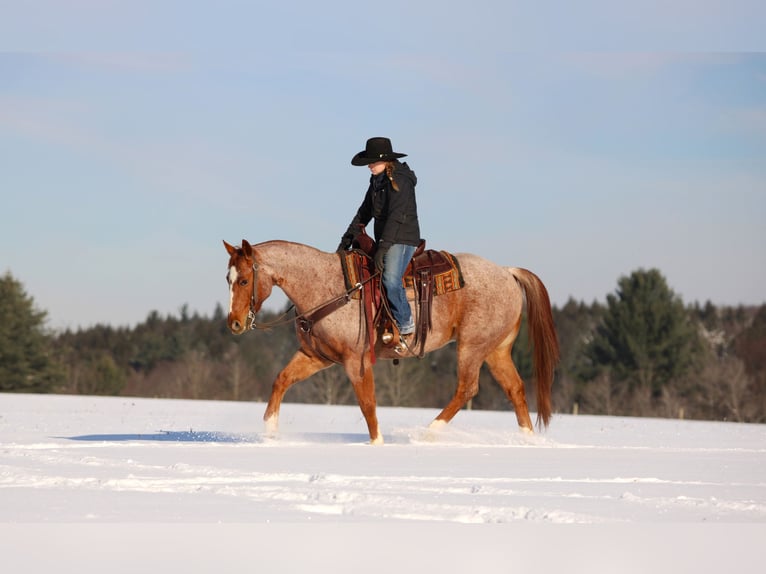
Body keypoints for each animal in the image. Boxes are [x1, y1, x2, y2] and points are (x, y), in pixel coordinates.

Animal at [223, 239, 560, 444]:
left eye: (244, 280)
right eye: (228, 279)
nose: (235, 323)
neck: (327, 287)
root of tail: (507, 272)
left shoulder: (356, 361)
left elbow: (367, 403)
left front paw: (377, 442)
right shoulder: (315, 356)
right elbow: (281, 380)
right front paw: (270, 431)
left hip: (472, 347)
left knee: (467, 389)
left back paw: (428, 432)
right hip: (496, 350)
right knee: (515, 389)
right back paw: (527, 440)